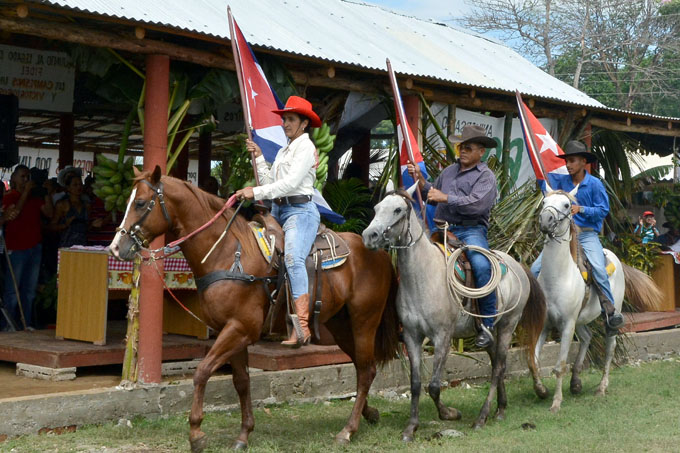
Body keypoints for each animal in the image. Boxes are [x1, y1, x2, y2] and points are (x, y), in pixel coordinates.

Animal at [109, 167, 402, 452]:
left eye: (140, 202)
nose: (115, 248)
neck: (227, 253)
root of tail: (378, 250)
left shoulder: (241, 328)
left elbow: (202, 371)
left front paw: (196, 434)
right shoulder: (230, 331)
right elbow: (242, 381)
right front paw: (244, 434)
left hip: (364, 322)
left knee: (365, 369)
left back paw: (347, 430)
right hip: (340, 326)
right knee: (363, 367)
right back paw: (369, 414)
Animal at [362, 189, 548, 440]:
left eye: (398, 209)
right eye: (376, 208)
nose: (369, 236)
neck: (423, 277)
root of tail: (518, 266)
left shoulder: (442, 337)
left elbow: (433, 385)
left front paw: (449, 414)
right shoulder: (412, 336)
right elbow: (416, 383)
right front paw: (411, 427)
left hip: (508, 325)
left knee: (498, 367)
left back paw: (482, 417)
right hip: (486, 332)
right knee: (495, 363)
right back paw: (500, 409)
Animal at [528, 189, 660, 412]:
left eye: (566, 205)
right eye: (544, 202)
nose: (545, 220)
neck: (558, 277)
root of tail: (615, 257)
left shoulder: (567, 324)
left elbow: (560, 365)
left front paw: (556, 402)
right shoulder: (545, 323)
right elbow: (534, 362)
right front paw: (541, 391)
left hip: (610, 317)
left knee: (609, 348)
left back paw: (601, 387)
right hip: (581, 320)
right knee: (587, 337)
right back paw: (575, 382)